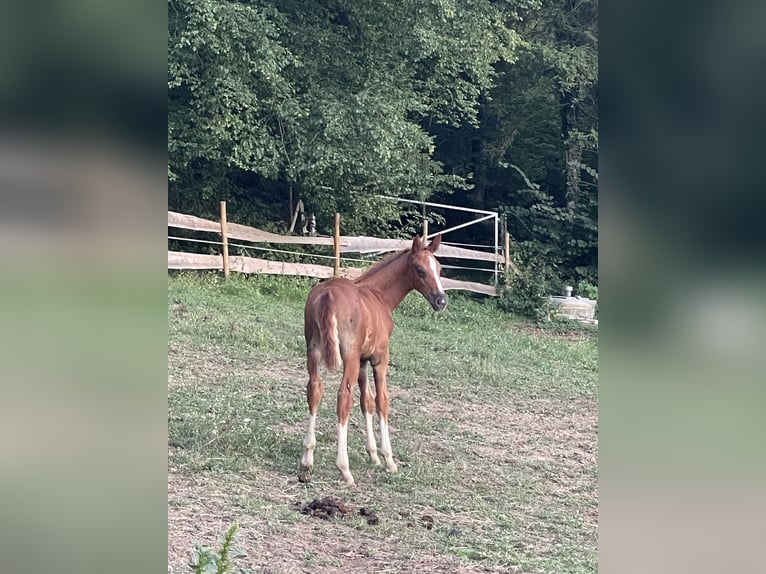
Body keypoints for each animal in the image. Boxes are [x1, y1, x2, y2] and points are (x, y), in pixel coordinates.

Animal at [298, 234, 448, 486]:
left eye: (438, 268)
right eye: (420, 270)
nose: (441, 301)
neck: (378, 296)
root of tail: (327, 293)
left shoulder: (362, 360)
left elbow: (366, 401)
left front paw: (373, 455)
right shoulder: (379, 358)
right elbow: (381, 402)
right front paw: (388, 459)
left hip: (314, 350)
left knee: (315, 390)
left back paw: (307, 461)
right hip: (347, 356)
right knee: (343, 397)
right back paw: (344, 469)